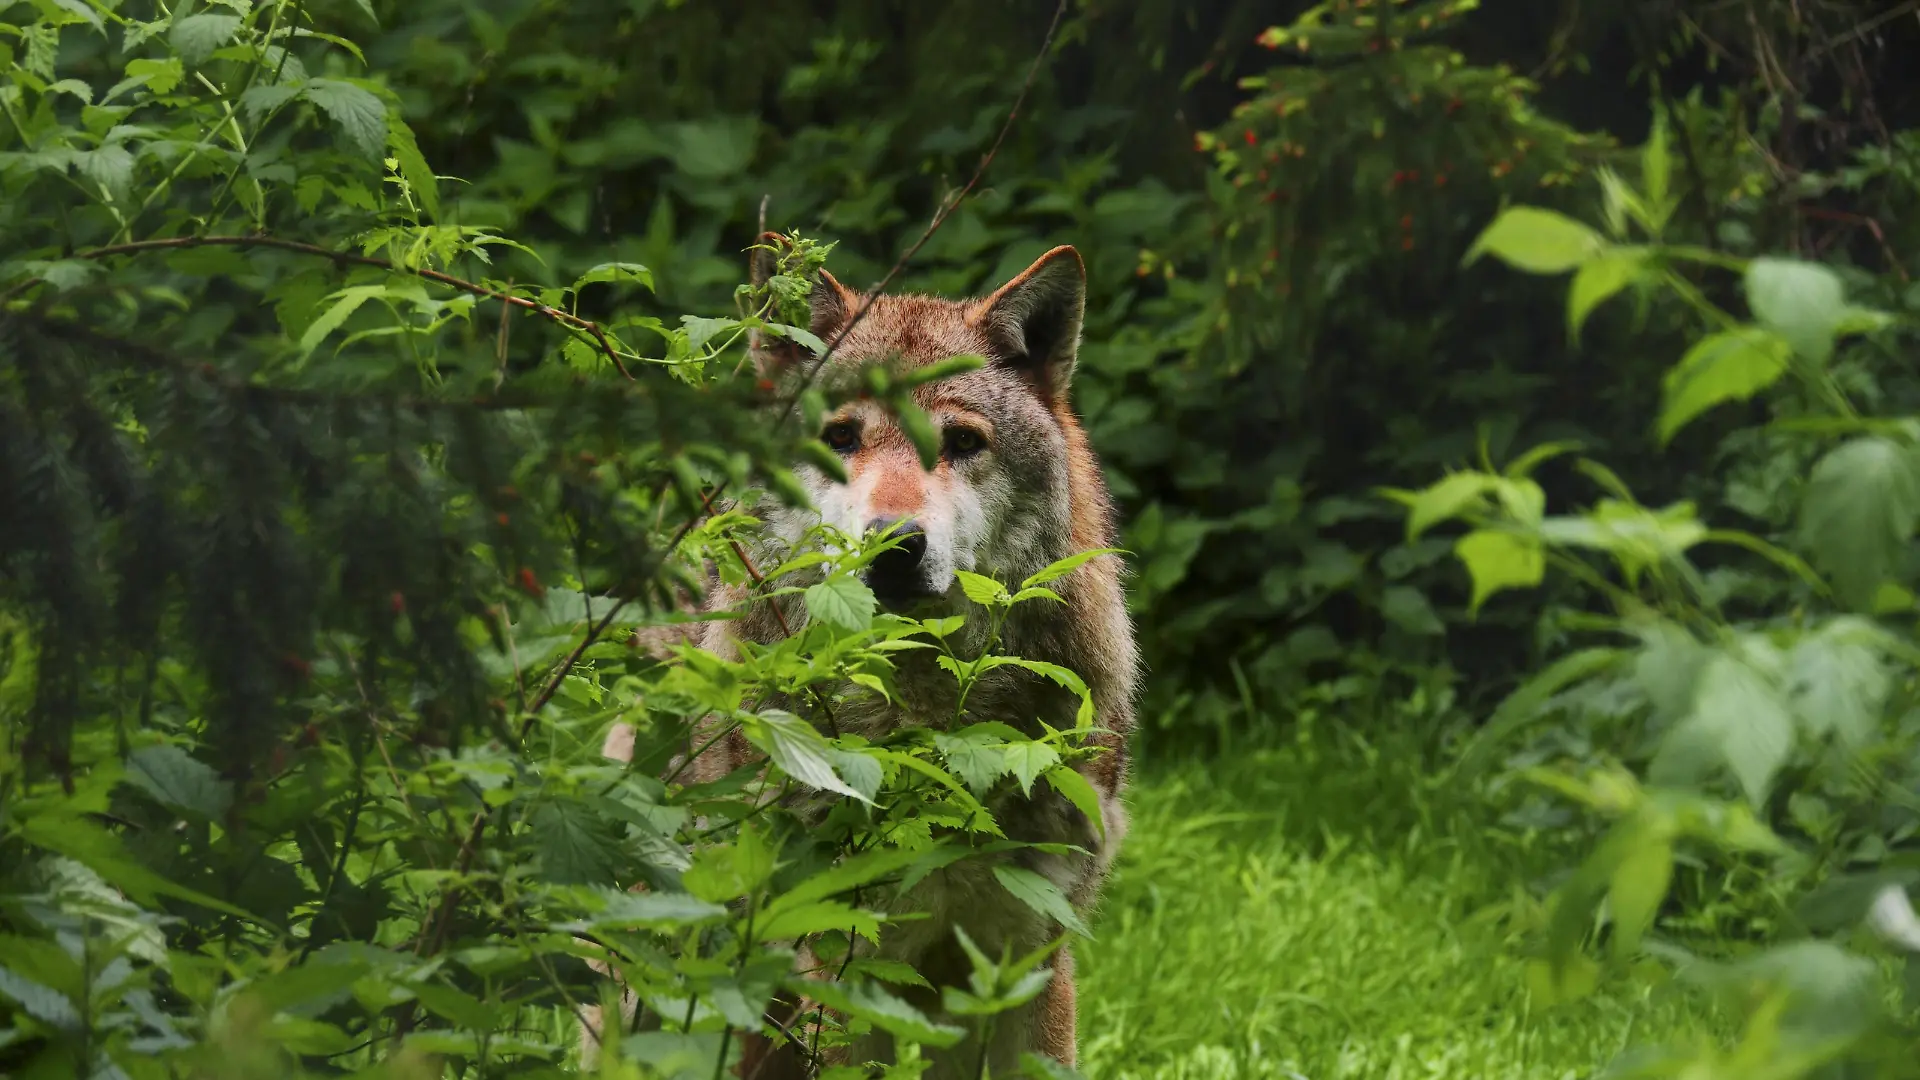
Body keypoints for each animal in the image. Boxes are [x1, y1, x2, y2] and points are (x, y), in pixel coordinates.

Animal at [583, 238, 1138, 1078]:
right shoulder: (839, 960)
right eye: (840, 436)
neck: (928, 717)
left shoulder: (1029, 955)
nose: (895, 545)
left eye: (962, 443)